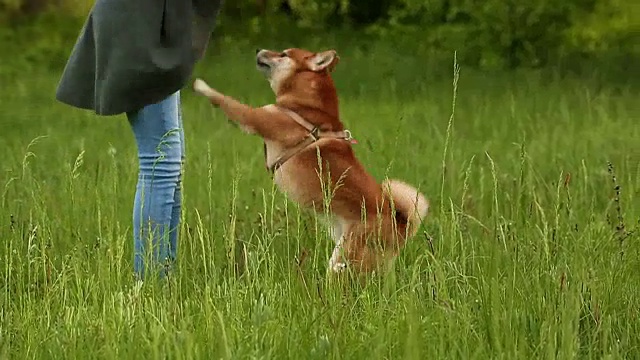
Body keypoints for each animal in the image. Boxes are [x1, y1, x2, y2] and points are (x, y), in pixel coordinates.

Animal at [192, 47, 428, 272]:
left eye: (283, 54)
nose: (258, 49)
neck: (306, 106)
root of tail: (401, 228)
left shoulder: (256, 117)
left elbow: (226, 101)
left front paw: (200, 85)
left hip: (346, 256)